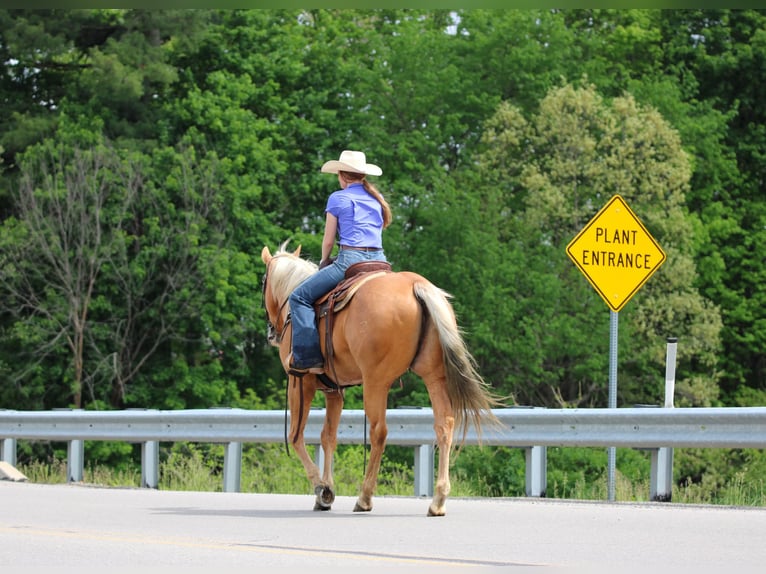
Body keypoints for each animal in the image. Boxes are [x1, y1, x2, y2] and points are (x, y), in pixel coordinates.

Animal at [260, 240, 503, 516]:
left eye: (263, 281)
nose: (271, 332)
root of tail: (416, 285)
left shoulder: (300, 383)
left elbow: (296, 436)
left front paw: (321, 489)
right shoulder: (335, 391)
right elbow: (328, 437)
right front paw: (326, 490)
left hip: (376, 382)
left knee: (379, 432)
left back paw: (365, 497)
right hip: (434, 377)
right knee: (444, 425)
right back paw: (438, 500)